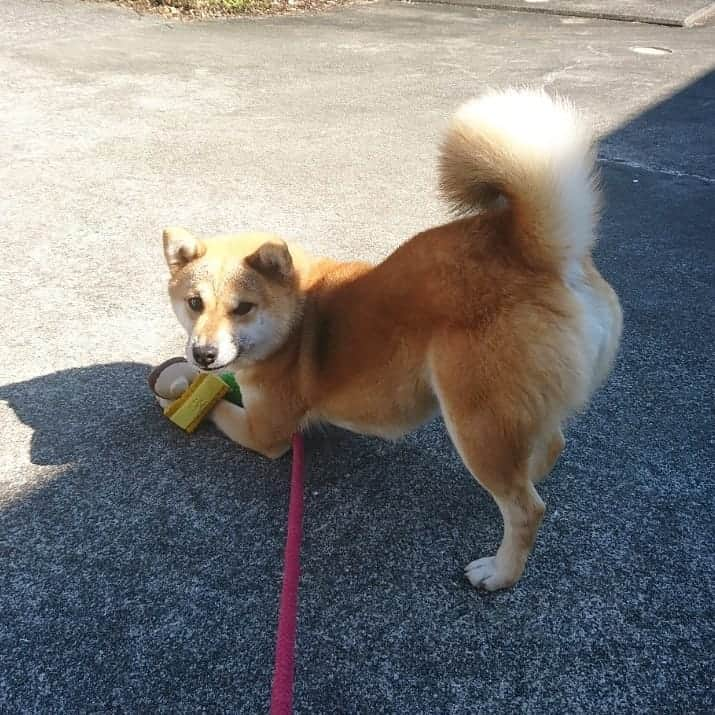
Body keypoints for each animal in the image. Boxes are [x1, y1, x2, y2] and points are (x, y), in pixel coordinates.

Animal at [161, 89, 620, 592]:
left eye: (242, 308)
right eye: (194, 303)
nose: (203, 354)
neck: (299, 312)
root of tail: (534, 252)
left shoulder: (265, 431)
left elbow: (218, 408)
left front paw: (184, 394)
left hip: (473, 416)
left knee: (527, 509)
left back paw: (499, 572)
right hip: (510, 413)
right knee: (549, 445)